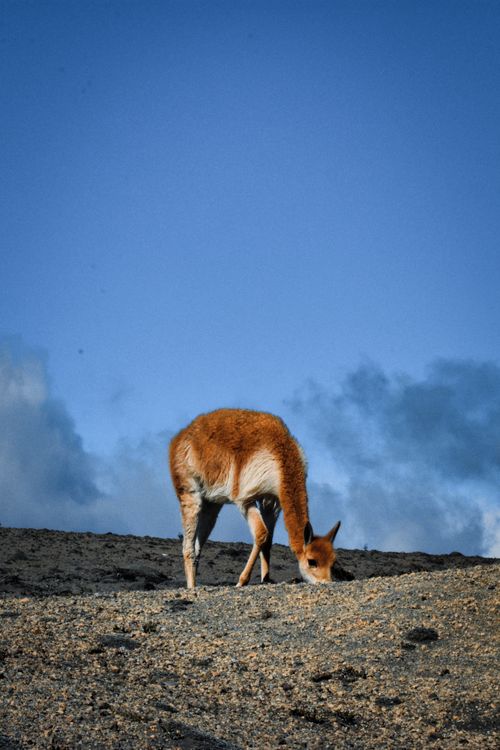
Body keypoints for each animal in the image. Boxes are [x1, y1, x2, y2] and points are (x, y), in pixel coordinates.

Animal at [169, 408, 341, 588]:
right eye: (312, 561)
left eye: (333, 562)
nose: (327, 582)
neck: (281, 455)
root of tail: (181, 436)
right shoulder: (245, 499)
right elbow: (261, 534)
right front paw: (242, 581)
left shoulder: (272, 501)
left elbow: (268, 540)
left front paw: (266, 579)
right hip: (189, 491)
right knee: (187, 546)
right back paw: (191, 587)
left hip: (212, 503)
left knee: (198, 545)